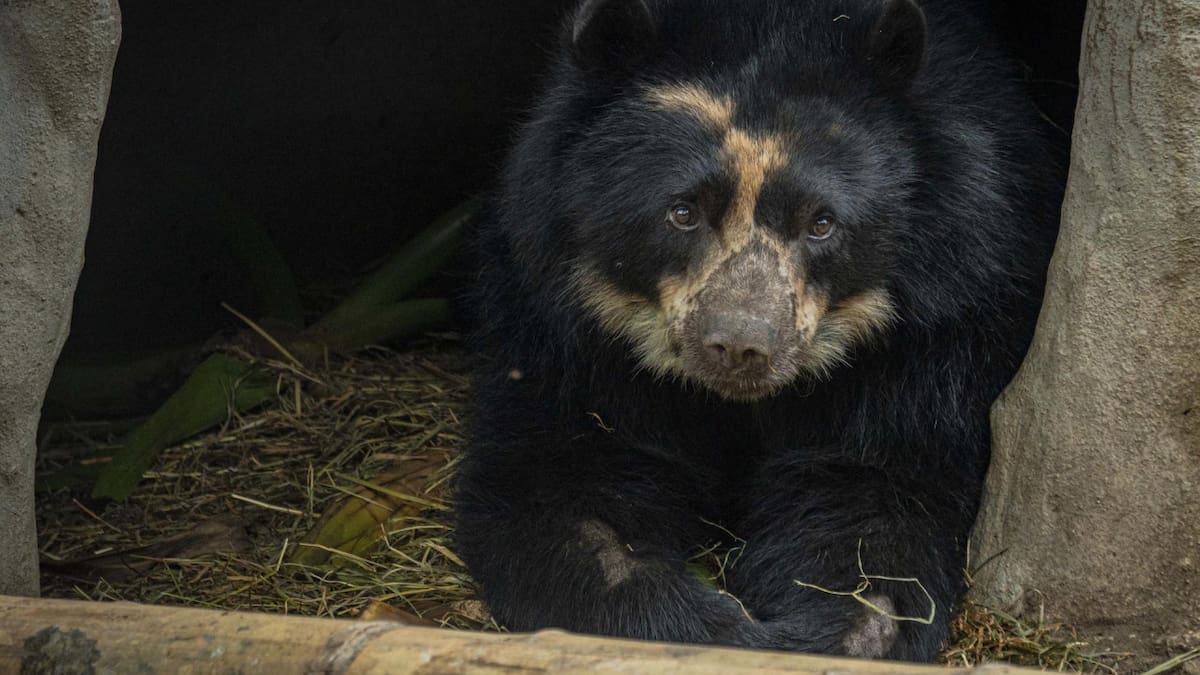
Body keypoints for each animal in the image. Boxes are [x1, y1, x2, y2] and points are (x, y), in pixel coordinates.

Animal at [454, 0, 1063, 662]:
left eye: (821, 223)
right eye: (683, 212)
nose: (741, 346)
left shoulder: (933, 347)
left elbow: (871, 512)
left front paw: (822, 632)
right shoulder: (564, 337)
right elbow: (565, 493)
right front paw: (714, 629)